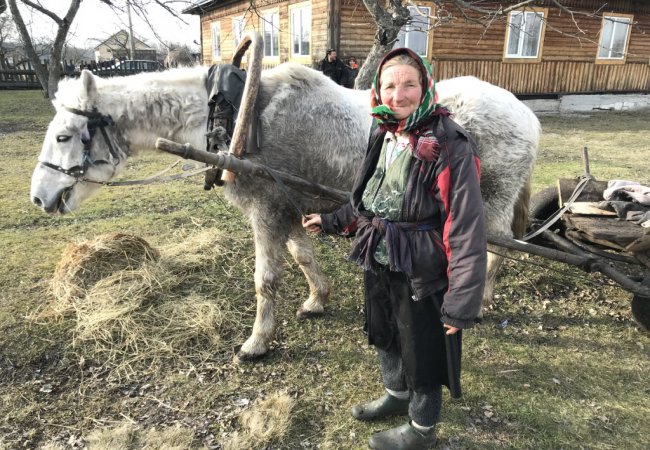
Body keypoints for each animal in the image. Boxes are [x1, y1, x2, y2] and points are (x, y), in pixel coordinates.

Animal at [30, 63, 540, 361]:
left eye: (63, 135)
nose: (38, 197)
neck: (239, 116)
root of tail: (527, 115)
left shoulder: (265, 210)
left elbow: (266, 280)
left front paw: (257, 342)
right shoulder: (286, 208)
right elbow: (302, 256)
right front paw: (317, 299)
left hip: (489, 201)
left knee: (494, 251)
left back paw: (480, 302)